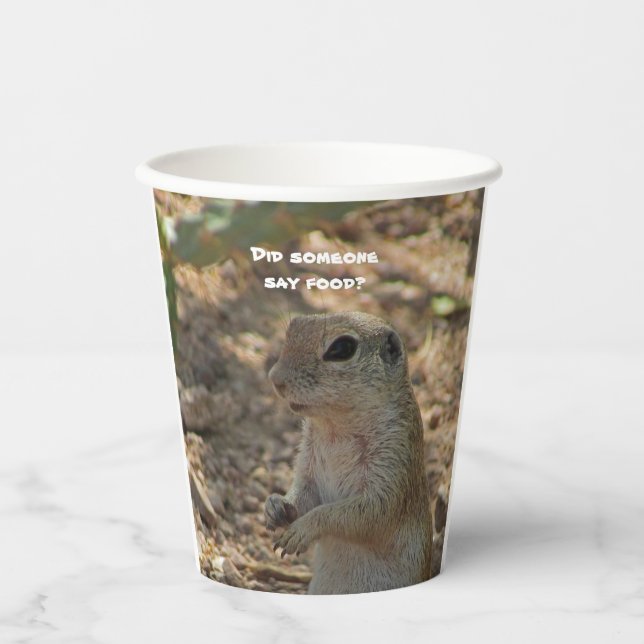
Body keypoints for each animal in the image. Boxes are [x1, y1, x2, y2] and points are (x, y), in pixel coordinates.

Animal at [264, 312, 432, 594]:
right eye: (294, 326)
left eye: (341, 348)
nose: (275, 379)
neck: (336, 429)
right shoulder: (308, 462)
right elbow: (305, 493)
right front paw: (277, 505)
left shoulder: (393, 463)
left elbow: (362, 514)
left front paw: (302, 529)